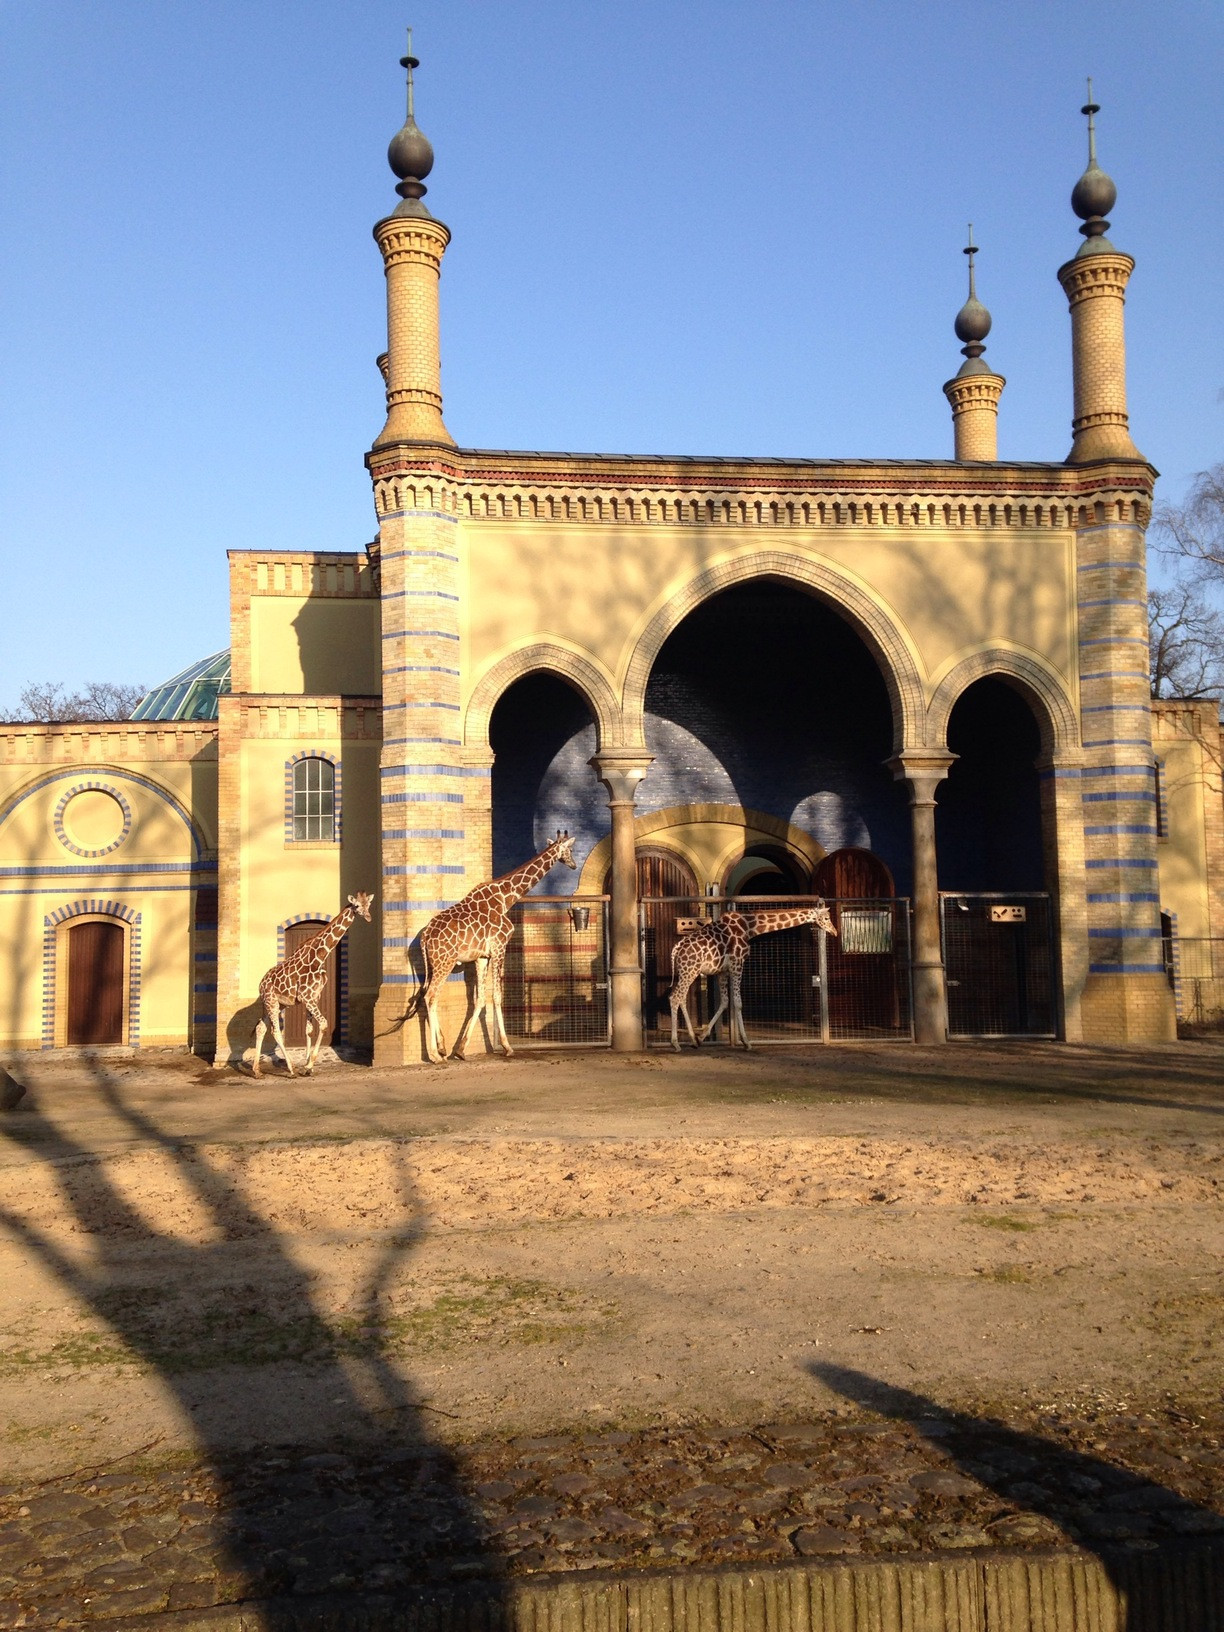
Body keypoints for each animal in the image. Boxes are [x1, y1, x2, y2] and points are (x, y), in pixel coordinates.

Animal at [252, 887, 373, 1077]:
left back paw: (256, 1070)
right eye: (357, 905)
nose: (368, 917)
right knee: (275, 1031)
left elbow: (308, 1030)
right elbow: (323, 1024)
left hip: (276, 1003)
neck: (320, 957)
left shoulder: (314, 997)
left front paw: (308, 1064)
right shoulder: (307, 997)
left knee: (260, 1028)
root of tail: (260, 984)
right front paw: (308, 1066)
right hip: (271, 1001)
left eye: (368, 904)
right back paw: (291, 1068)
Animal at [414, 835, 577, 1064]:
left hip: (432, 963)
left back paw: (443, 1047)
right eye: (569, 850)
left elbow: (480, 999)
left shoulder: (481, 957)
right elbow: (498, 996)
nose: (574, 865)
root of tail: (425, 936)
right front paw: (507, 1047)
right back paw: (435, 1055)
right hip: (444, 962)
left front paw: (460, 1050)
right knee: (431, 996)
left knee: (424, 996)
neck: (506, 898)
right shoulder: (500, 946)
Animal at [665, 900, 842, 1051]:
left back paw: (692, 1039)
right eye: (826, 917)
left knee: (681, 998)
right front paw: (746, 1042)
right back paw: (675, 1043)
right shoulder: (738, 964)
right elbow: (737, 1003)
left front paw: (701, 1037)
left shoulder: (723, 971)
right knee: (675, 997)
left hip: (686, 972)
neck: (749, 927)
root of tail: (675, 949)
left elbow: (725, 1002)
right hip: (690, 971)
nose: (834, 932)